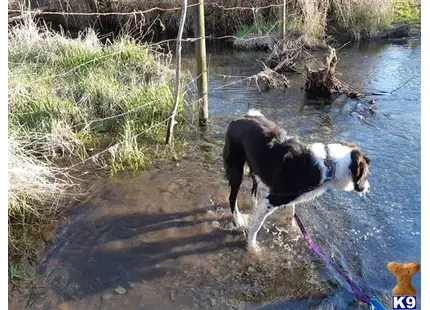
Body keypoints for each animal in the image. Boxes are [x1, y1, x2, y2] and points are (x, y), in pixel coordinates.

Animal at [222, 109, 370, 252]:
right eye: (366, 175)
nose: (367, 188)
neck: (328, 165)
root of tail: (240, 118)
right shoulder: (274, 198)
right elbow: (256, 227)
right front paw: (252, 247)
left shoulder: (287, 196)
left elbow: (290, 213)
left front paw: (293, 231)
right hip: (236, 170)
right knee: (232, 197)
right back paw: (238, 220)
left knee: (253, 190)